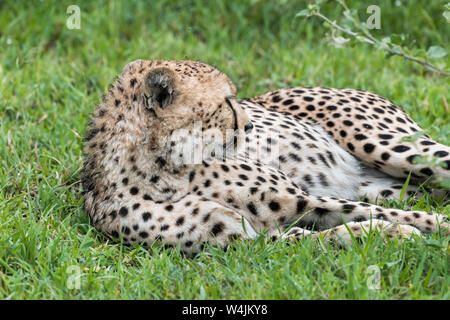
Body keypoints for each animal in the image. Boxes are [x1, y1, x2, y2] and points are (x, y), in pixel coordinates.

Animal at [81, 59, 450, 255]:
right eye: (225, 102)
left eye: (235, 97)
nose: (250, 124)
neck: (163, 170)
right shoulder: (255, 241)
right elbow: (325, 235)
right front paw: (390, 234)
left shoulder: (300, 198)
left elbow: (385, 214)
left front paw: (431, 227)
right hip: (384, 185)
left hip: (392, 146)